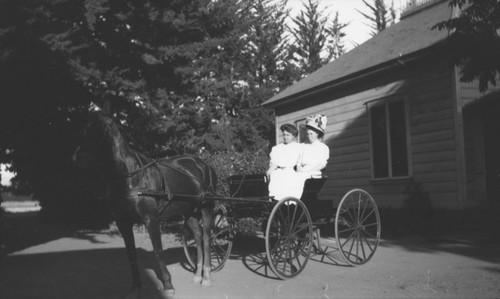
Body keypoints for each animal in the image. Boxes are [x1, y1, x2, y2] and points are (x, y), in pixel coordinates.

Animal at [72, 113, 217, 298]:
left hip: (207, 208)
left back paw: (206, 278)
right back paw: (197, 276)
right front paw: (135, 288)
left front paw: (168, 285)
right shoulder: (123, 223)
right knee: (198, 237)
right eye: (84, 129)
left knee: (206, 238)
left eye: (101, 130)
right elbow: (131, 255)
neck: (131, 178)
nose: (78, 158)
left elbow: (158, 251)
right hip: (189, 212)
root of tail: (204, 165)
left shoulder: (151, 220)